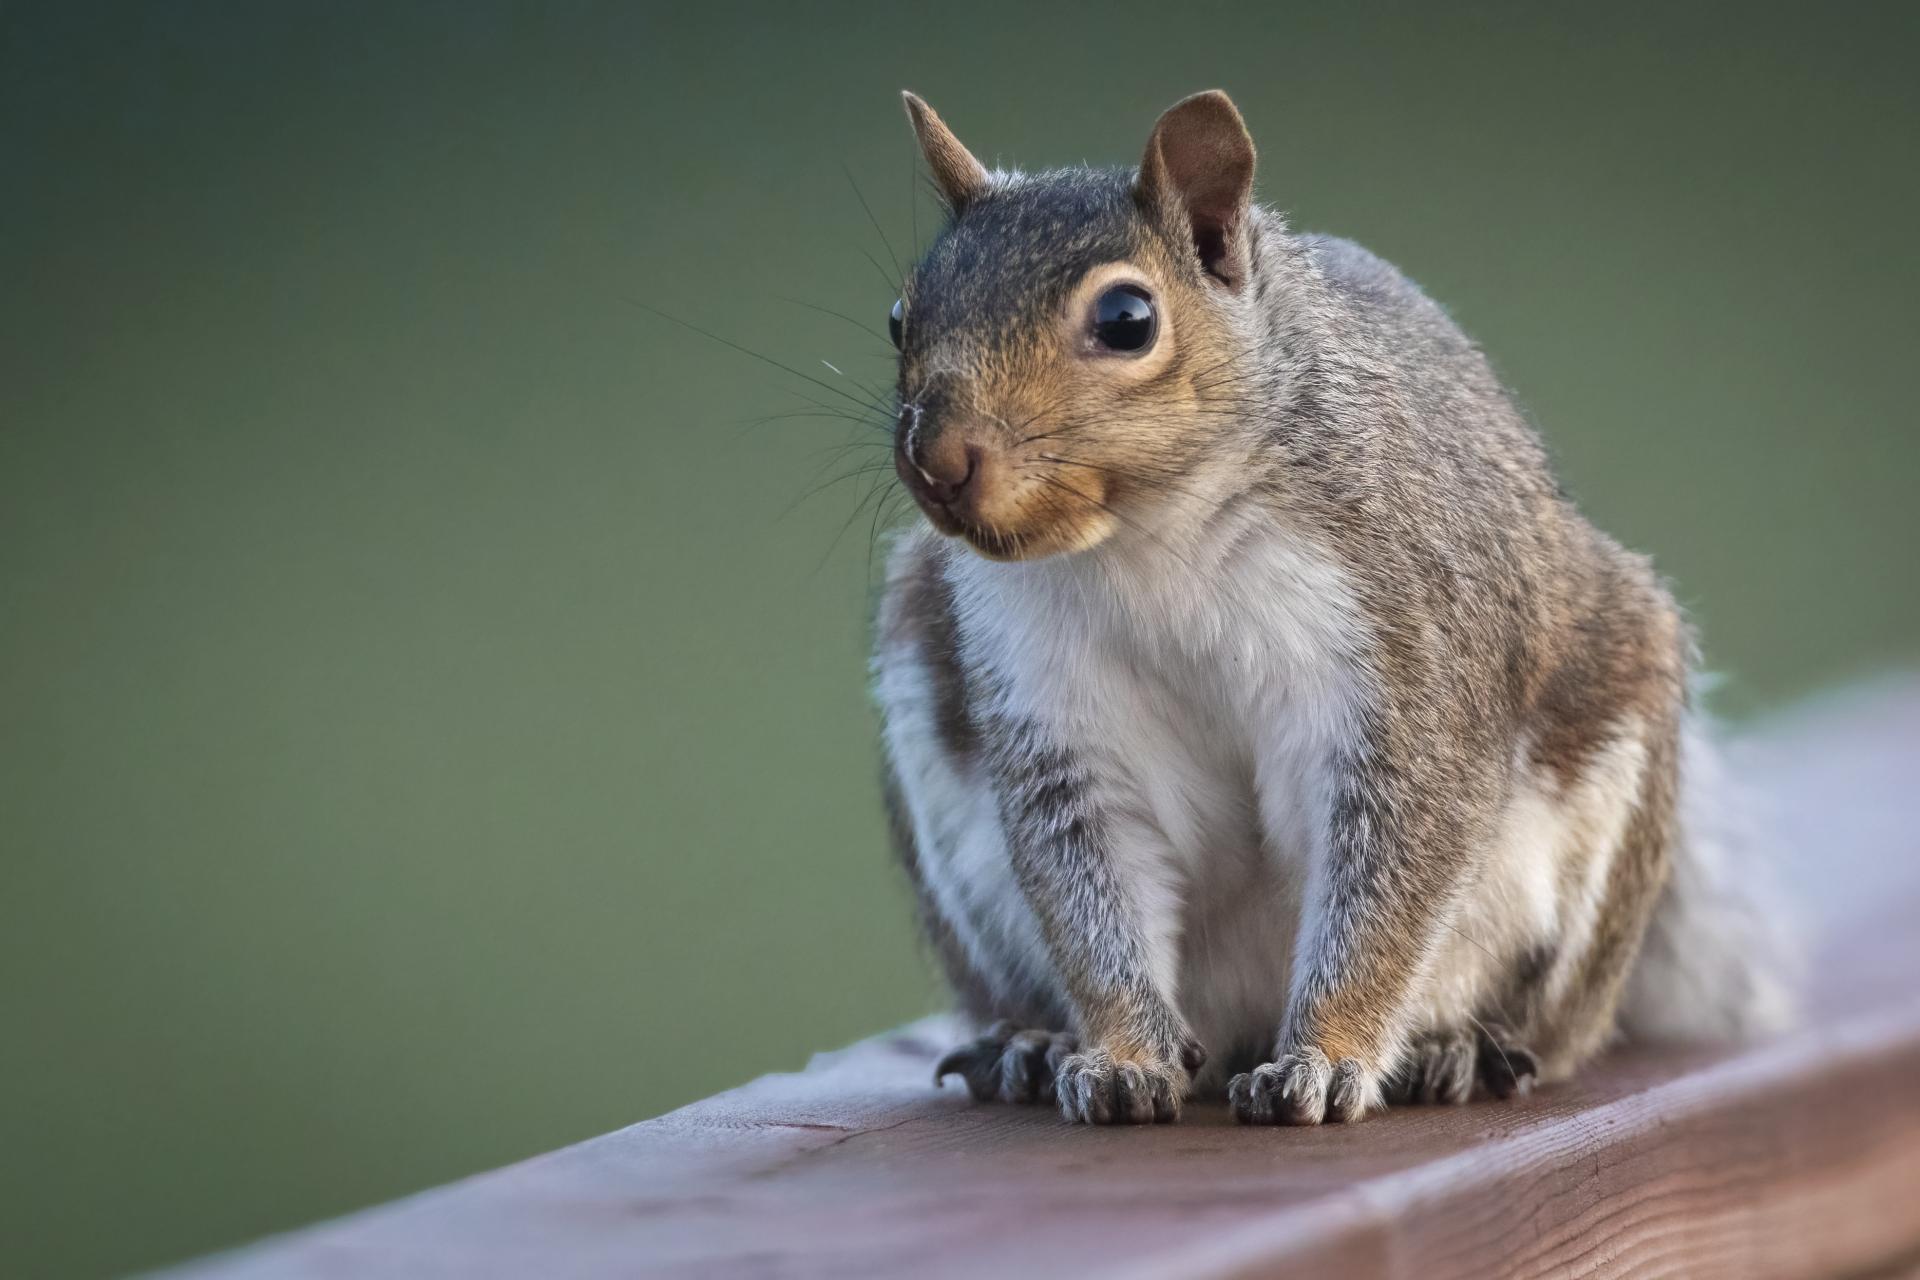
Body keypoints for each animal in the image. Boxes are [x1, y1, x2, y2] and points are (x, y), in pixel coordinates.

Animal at [873, 89, 1791, 1125]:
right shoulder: (1051, 712)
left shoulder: (1403, 649)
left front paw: (1324, 1058)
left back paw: (1464, 1048)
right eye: (902, 316)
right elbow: (1087, 883)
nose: (937, 460)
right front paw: (1120, 1055)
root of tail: (1236, 1021)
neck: (1146, 537)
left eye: (1127, 318)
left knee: (1560, 1028)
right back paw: (1030, 1042)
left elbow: (1391, 868)